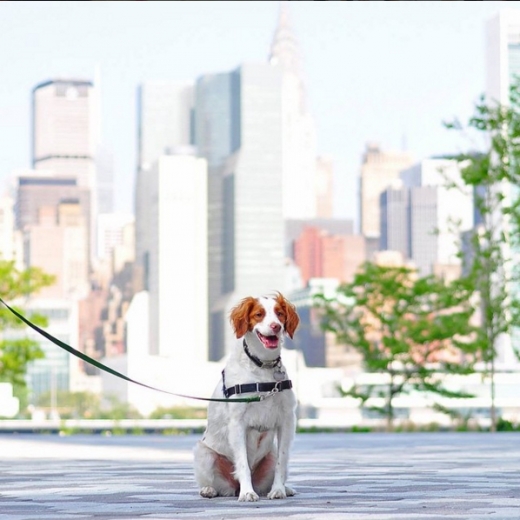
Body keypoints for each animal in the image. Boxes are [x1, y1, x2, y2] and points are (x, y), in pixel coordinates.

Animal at [194, 292, 300, 500]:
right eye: (259, 314)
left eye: (280, 313)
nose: (276, 326)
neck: (262, 366)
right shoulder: (238, 423)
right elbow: (242, 463)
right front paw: (247, 493)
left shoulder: (286, 420)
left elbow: (282, 462)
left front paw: (278, 490)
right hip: (204, 454)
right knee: (212, 483)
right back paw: (209, 490)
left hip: (269, 455)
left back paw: (286, 488)